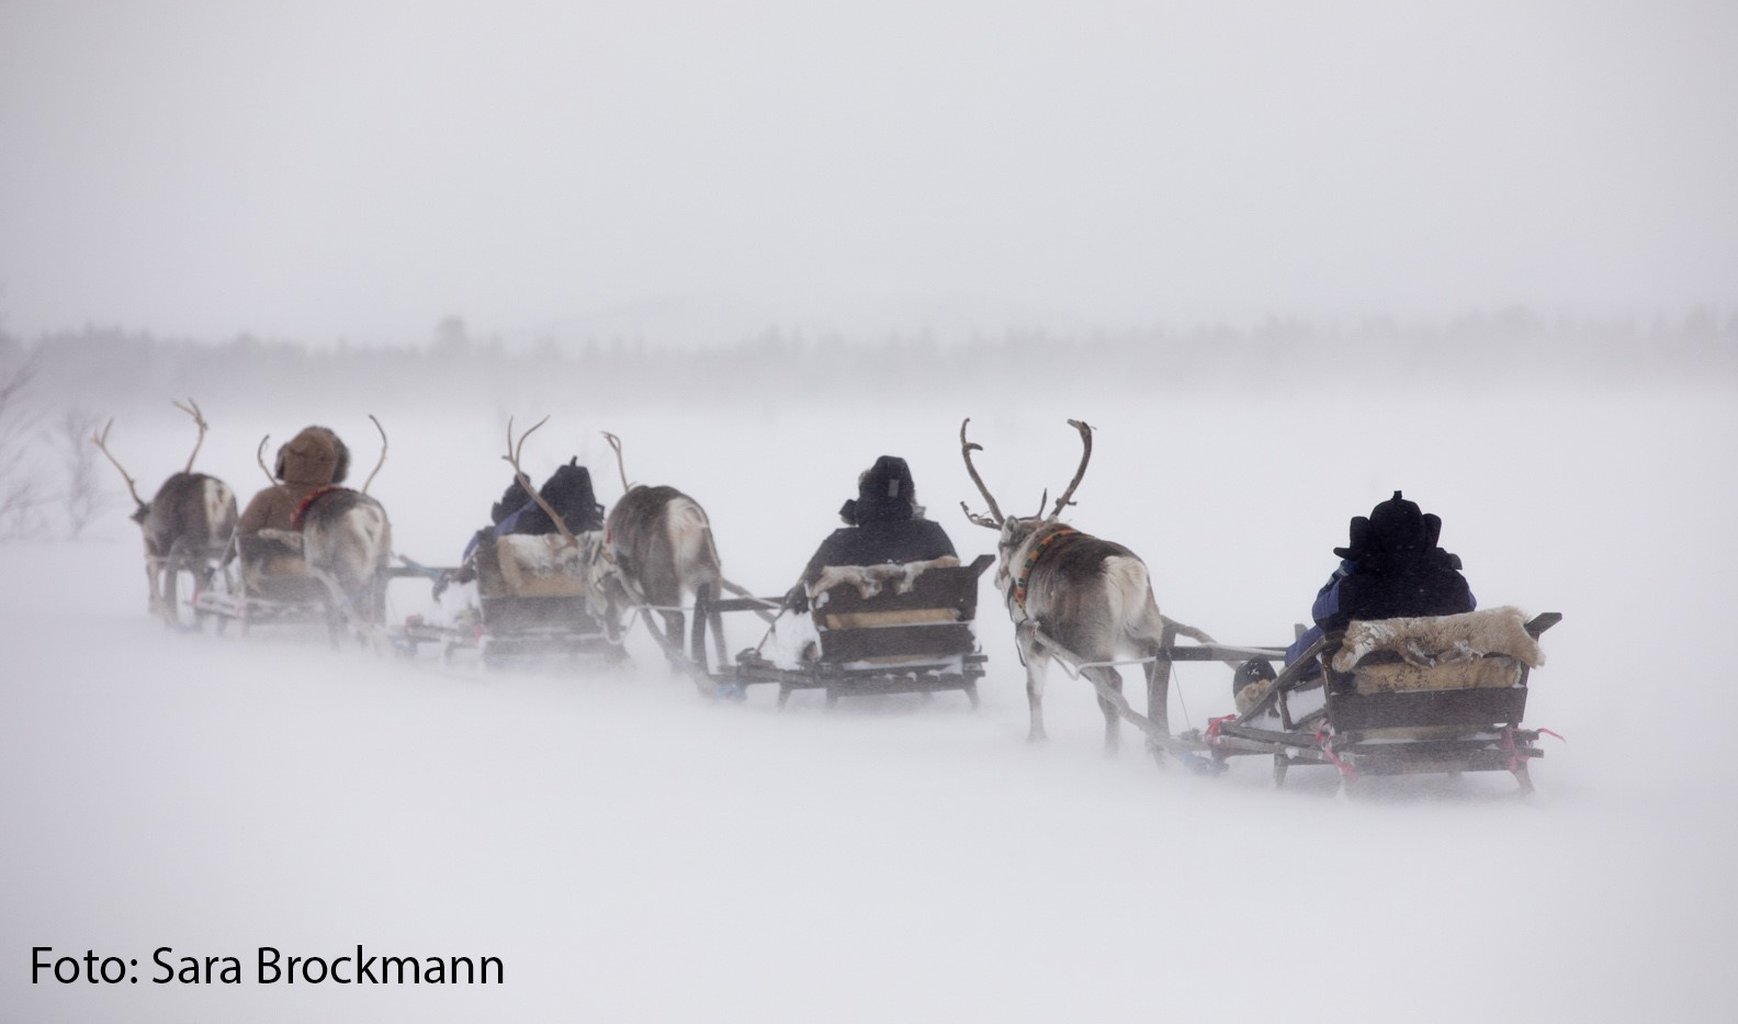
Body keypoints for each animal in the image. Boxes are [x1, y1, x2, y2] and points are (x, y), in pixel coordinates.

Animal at [92, 400, 238, 627]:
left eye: (143, 529)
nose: (146, 547)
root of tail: (216, 492)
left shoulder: (165, 551)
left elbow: (158, 580)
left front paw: (162, 612)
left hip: (196, 544)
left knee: (197, 581)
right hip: (227, 537)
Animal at [960, 418, 1214, 756]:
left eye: (1000, 545)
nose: (995, 581)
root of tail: (1123, 570)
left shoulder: (1030, 638)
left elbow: (1033, 690)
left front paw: (1036, 740)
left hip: (1089, 642)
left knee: (1113, 688)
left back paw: (1112, 753)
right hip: (1144, 630)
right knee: (1154, 676)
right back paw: (1153, 744)